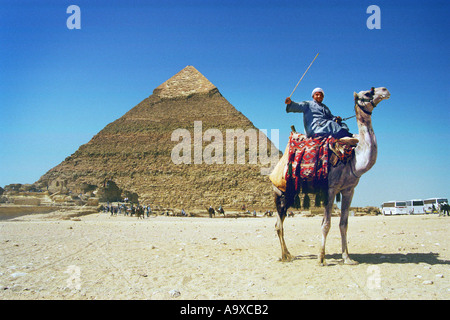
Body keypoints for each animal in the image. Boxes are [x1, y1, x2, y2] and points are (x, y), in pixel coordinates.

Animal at [270, 87, 390, 264]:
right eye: (368, 93)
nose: (385, 90)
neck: (353, 159)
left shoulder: (349, 190)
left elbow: (344, 224)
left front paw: (347, 257)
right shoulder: (331, 189)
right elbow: (326, 224)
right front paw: (321, 258)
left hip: (290, 194)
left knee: (279, 224)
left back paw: (287, 254)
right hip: (281, 193)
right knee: (279, 225)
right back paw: (287, 256)